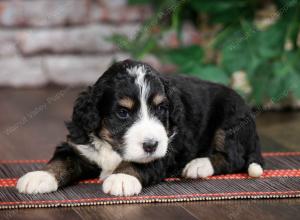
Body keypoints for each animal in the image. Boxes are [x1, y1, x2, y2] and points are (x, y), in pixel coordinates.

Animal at [17, 59, 264, 196]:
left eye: (161, 108)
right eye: (123, 113)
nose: (151, 144)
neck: (114, 149)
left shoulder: (167, 149)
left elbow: (139, 163)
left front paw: (122, 178)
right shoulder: (79, 144)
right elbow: (62, 160)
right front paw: (39, 176)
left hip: (230, 119)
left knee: (234, 158)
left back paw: (199, 165)